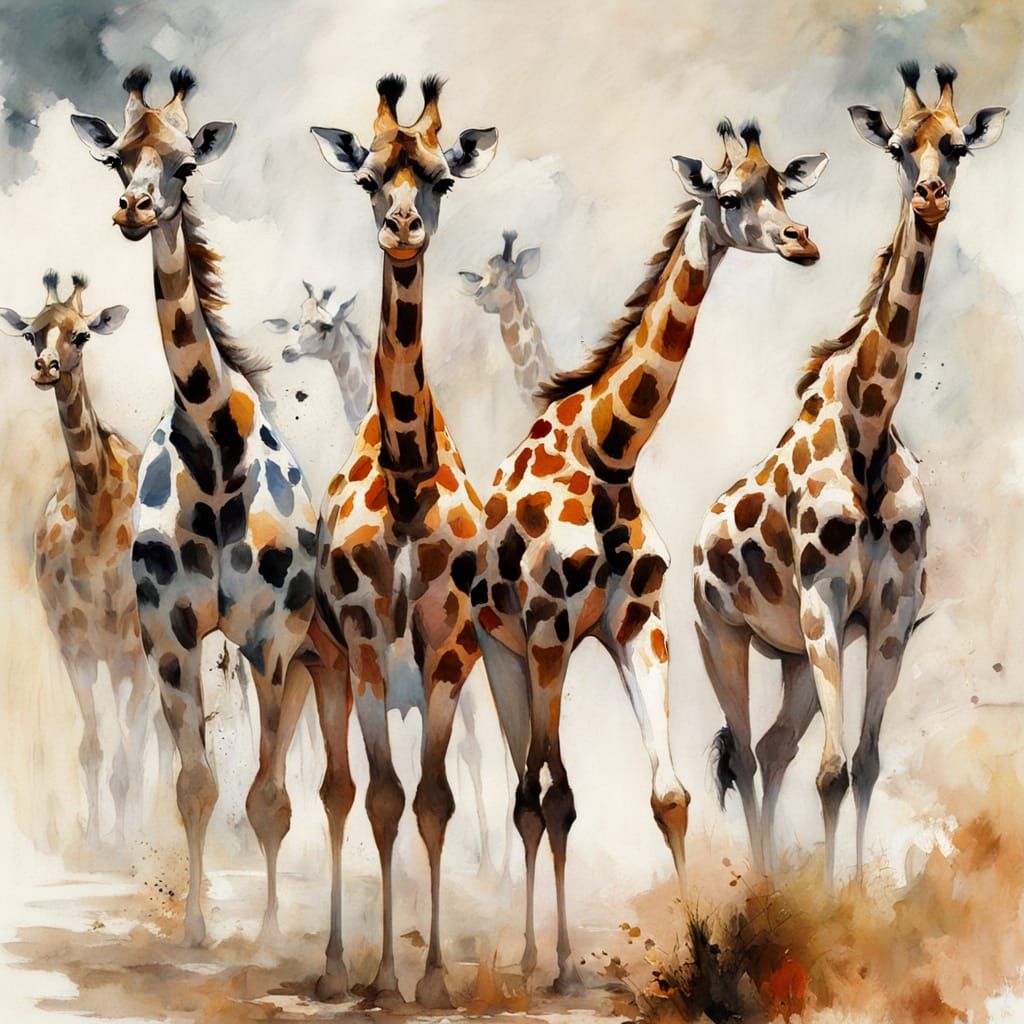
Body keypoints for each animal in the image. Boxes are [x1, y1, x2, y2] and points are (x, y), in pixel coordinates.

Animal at [1, 271, 152, 850]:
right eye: (30, 334)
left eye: (83, 335)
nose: (45, 368)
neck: (97, 516)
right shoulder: (75, 648)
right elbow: (91, 748)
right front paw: (93, 841)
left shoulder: (134, 648)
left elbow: (130, 754)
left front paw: (127, 846)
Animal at [71, 67, 318, 946]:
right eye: (116, 158)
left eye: (185, 165)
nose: (134, 209)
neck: (216, 459)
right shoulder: (169, 636)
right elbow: (196, 785)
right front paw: (195, 930)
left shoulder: (272, 637)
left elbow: (269, 796)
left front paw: (273, 933)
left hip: (299, 650)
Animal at [472, 120, 828, 991]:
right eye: (729, 197)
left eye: (784, 188)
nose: (802, 242)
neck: (607, 449)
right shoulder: (548, 630)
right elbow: (555, 799)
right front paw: (560, 966)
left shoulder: (640, 623)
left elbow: (670, 797)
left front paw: (702, 951)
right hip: (502, 658)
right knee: (528, 794)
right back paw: (532, 956)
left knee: (536, 792)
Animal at [692, 64, 1007, 888]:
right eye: (898, 147)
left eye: (957, 146)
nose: (930, 197)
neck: (867, 425)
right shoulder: (824, 600)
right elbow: (831, 772)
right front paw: (833, 902)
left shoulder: (892, 611)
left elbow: (861, 766)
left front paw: (857, 895)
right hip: (722, 636)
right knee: (746, 755)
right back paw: (764, 890)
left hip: (794, 659)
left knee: (772, 749)